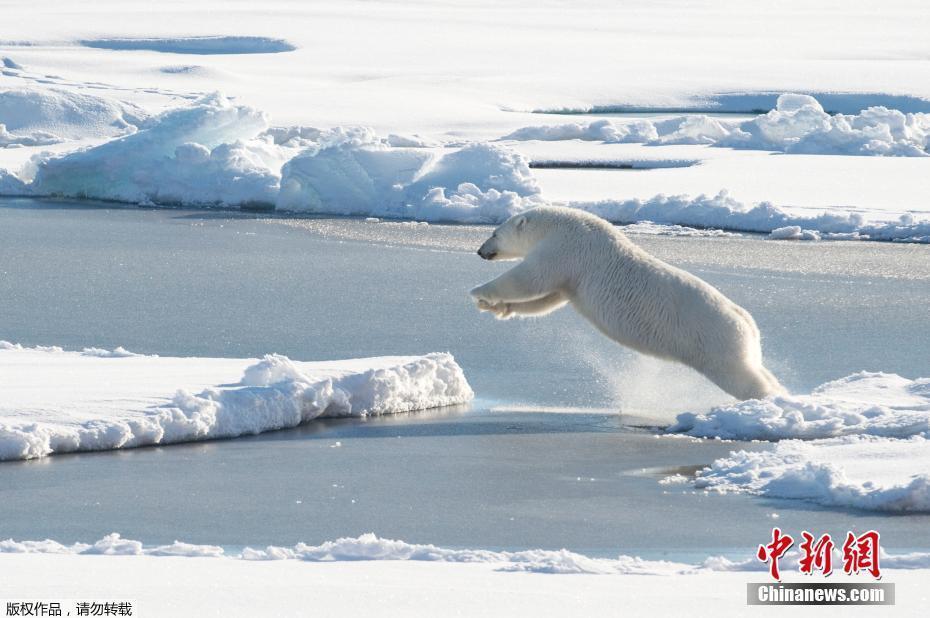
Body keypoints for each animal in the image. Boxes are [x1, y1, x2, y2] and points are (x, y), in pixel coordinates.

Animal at [472, 207, 784, 400]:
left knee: (741, 377)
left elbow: (530, 278)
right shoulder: (571, 275)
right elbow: (548, 299)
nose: (479, 251)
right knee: (757, 368)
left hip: (713, 340)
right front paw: (496, 307)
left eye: (494, 233)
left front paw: (478, 291)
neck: (557, 225)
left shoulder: (566, 248)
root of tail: (746, 321)